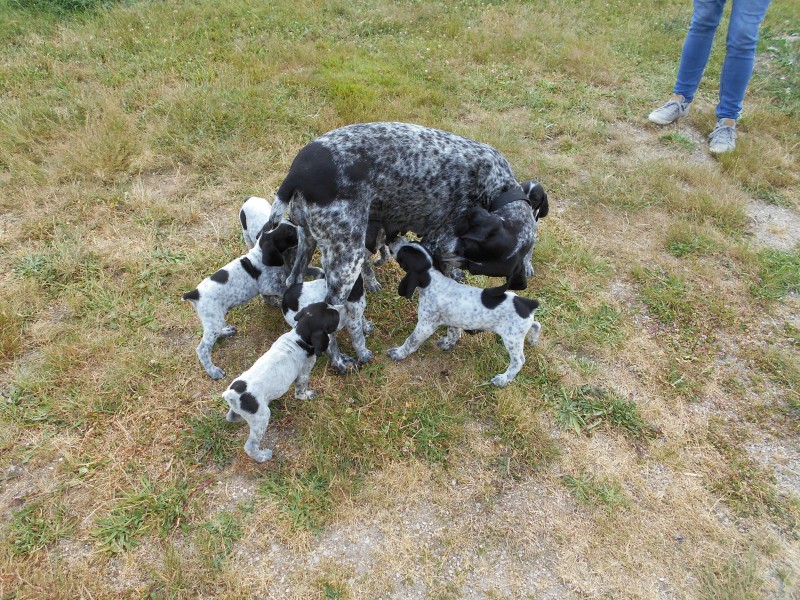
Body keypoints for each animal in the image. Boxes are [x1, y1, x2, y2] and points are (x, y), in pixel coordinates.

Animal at [181, 220, 300, 380]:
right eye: (289, 232)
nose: (302, 230)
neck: (259, 254)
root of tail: (195, 293)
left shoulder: (264, 288)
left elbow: (268, 297)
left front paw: (273, 302)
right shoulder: (268, 286)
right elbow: (281, 290)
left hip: (215, 320)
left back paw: (226, 331)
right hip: (213, 320)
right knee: (202, 349)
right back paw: (213, 371)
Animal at [222, 302, 344, 462]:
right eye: (335, 318)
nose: (344, 307)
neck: (299, 337)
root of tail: (233, 394)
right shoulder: (303, 374)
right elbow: (301, 392)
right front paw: (306, 396)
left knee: (230, 416)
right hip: (261, 418)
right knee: (250, 446)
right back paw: (263, 456)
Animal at [268, 122, 552, 370]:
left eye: (471, 259)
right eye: (469, 245)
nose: (436, 250)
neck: (496, 185)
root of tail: (297, 172)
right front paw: (453, 336)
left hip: (309, 241)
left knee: (295, 282)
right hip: (348, 260)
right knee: (329, 313)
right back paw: (339, 360)